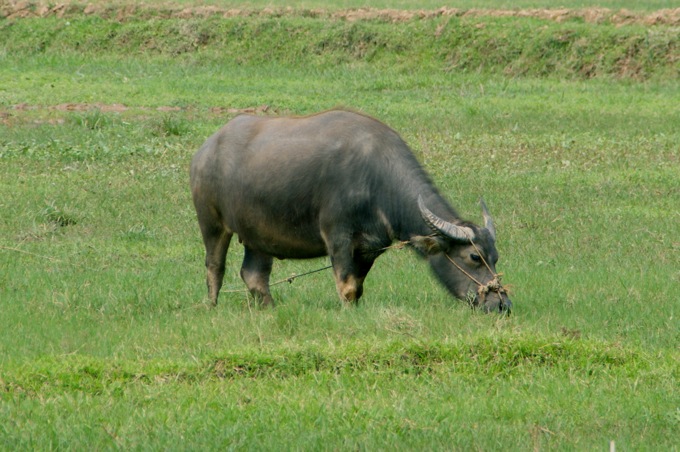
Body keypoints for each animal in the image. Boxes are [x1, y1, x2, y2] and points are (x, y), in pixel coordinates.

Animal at [190, 110, 510, 314]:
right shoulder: (338, 237)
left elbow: (357, 286)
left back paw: (270, 310)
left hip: (257, 236)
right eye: (473, 257)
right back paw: (212, 306)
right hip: (212, 223)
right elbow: (346, 285)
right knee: (215, 267)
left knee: (254, 275)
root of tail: (205, 150)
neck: (375, 178)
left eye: (494, 256)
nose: (502, 304)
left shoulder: (370, 246)